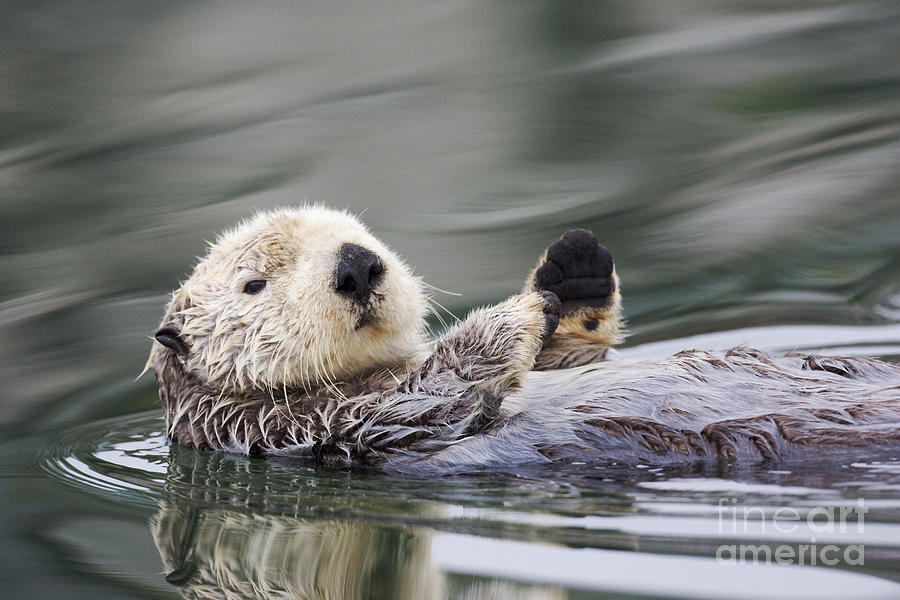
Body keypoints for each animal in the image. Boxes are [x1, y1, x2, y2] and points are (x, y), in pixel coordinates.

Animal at [148, 207, 900, 474]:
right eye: (254, 283)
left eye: (356, 231)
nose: (357, 264)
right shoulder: (307, 425)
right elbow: (433, 400)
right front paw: (514, 312)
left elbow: (574, 356)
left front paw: (573, 271)